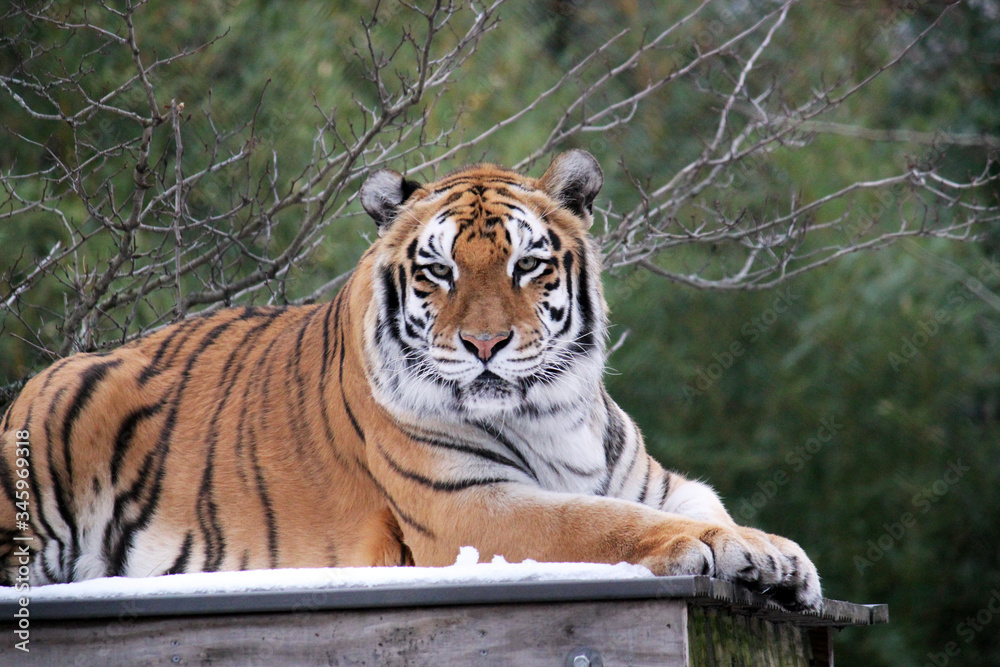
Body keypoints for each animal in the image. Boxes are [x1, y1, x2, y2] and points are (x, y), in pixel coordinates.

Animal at [0, 150, 821, 610]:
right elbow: (600, 522)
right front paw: (717, 548)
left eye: (527, 264)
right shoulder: (467, 507)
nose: (485, 343)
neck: (554, 412)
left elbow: (701, 504)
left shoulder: (647, 479)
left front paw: (777, 555)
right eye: (439, 271)